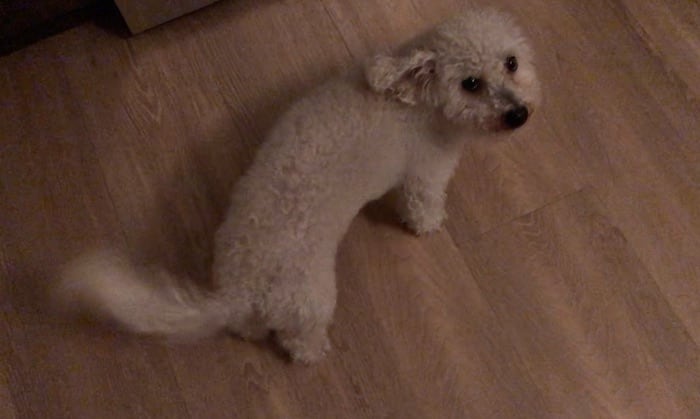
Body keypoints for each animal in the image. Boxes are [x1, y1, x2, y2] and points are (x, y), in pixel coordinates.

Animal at [57, 8, 540, 363]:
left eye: (511, 63)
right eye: (470, 83)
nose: (519, 115)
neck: (417, 101)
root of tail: (240, 289)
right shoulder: (425, 173)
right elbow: (423, 205)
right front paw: (428, 226)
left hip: (255, 308)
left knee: (249, 328)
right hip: (312, 302)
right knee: (298, 342)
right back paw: (315, 352)